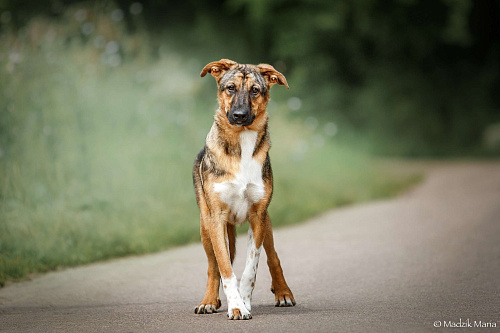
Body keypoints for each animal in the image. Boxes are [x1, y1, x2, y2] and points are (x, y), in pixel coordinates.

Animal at [192, 59, 294, 320]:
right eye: (230, 88)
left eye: (255, 90)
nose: (239, 115)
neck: (241, 142)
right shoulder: (216, 218)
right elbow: (225, 269)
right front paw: (236, 306)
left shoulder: (258, 216)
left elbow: (251, 268)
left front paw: (245, 302)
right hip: (205, 226)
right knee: (212, 267)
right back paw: (209, 301)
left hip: (266, 224)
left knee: (273, 257)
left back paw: (283, 293)